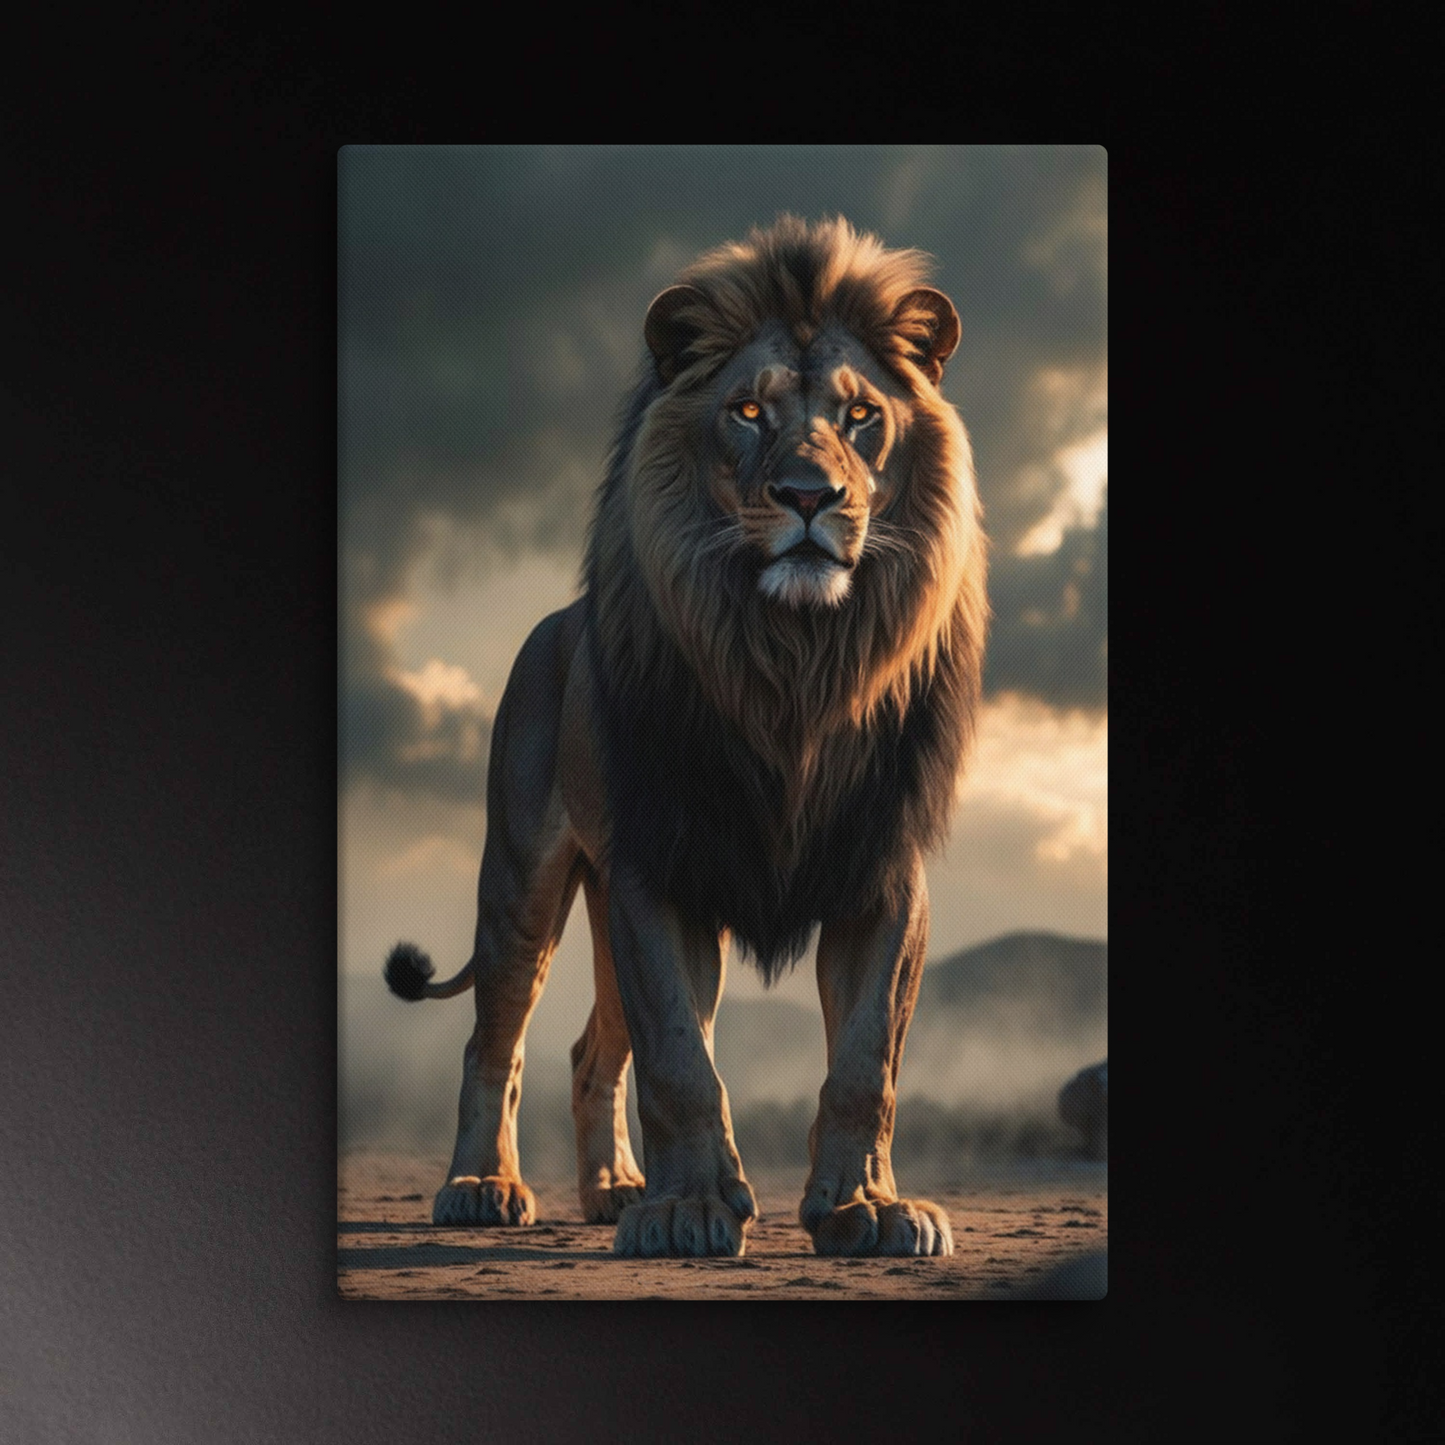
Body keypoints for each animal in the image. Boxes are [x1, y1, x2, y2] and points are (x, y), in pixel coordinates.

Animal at [383, 215, 988, 1258]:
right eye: (747, 411)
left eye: (860, 415)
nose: (808, 496)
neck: (795, 663)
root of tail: (553, 624)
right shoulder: (657, 863)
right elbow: (679, 1055)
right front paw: (690, 1210)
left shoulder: (881, 865)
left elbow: (866, 1058)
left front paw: (867, 1207)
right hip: (522, 883)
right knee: (493, 1040)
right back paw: (481, 1185)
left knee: (590, 1047)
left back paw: (612, 1187)